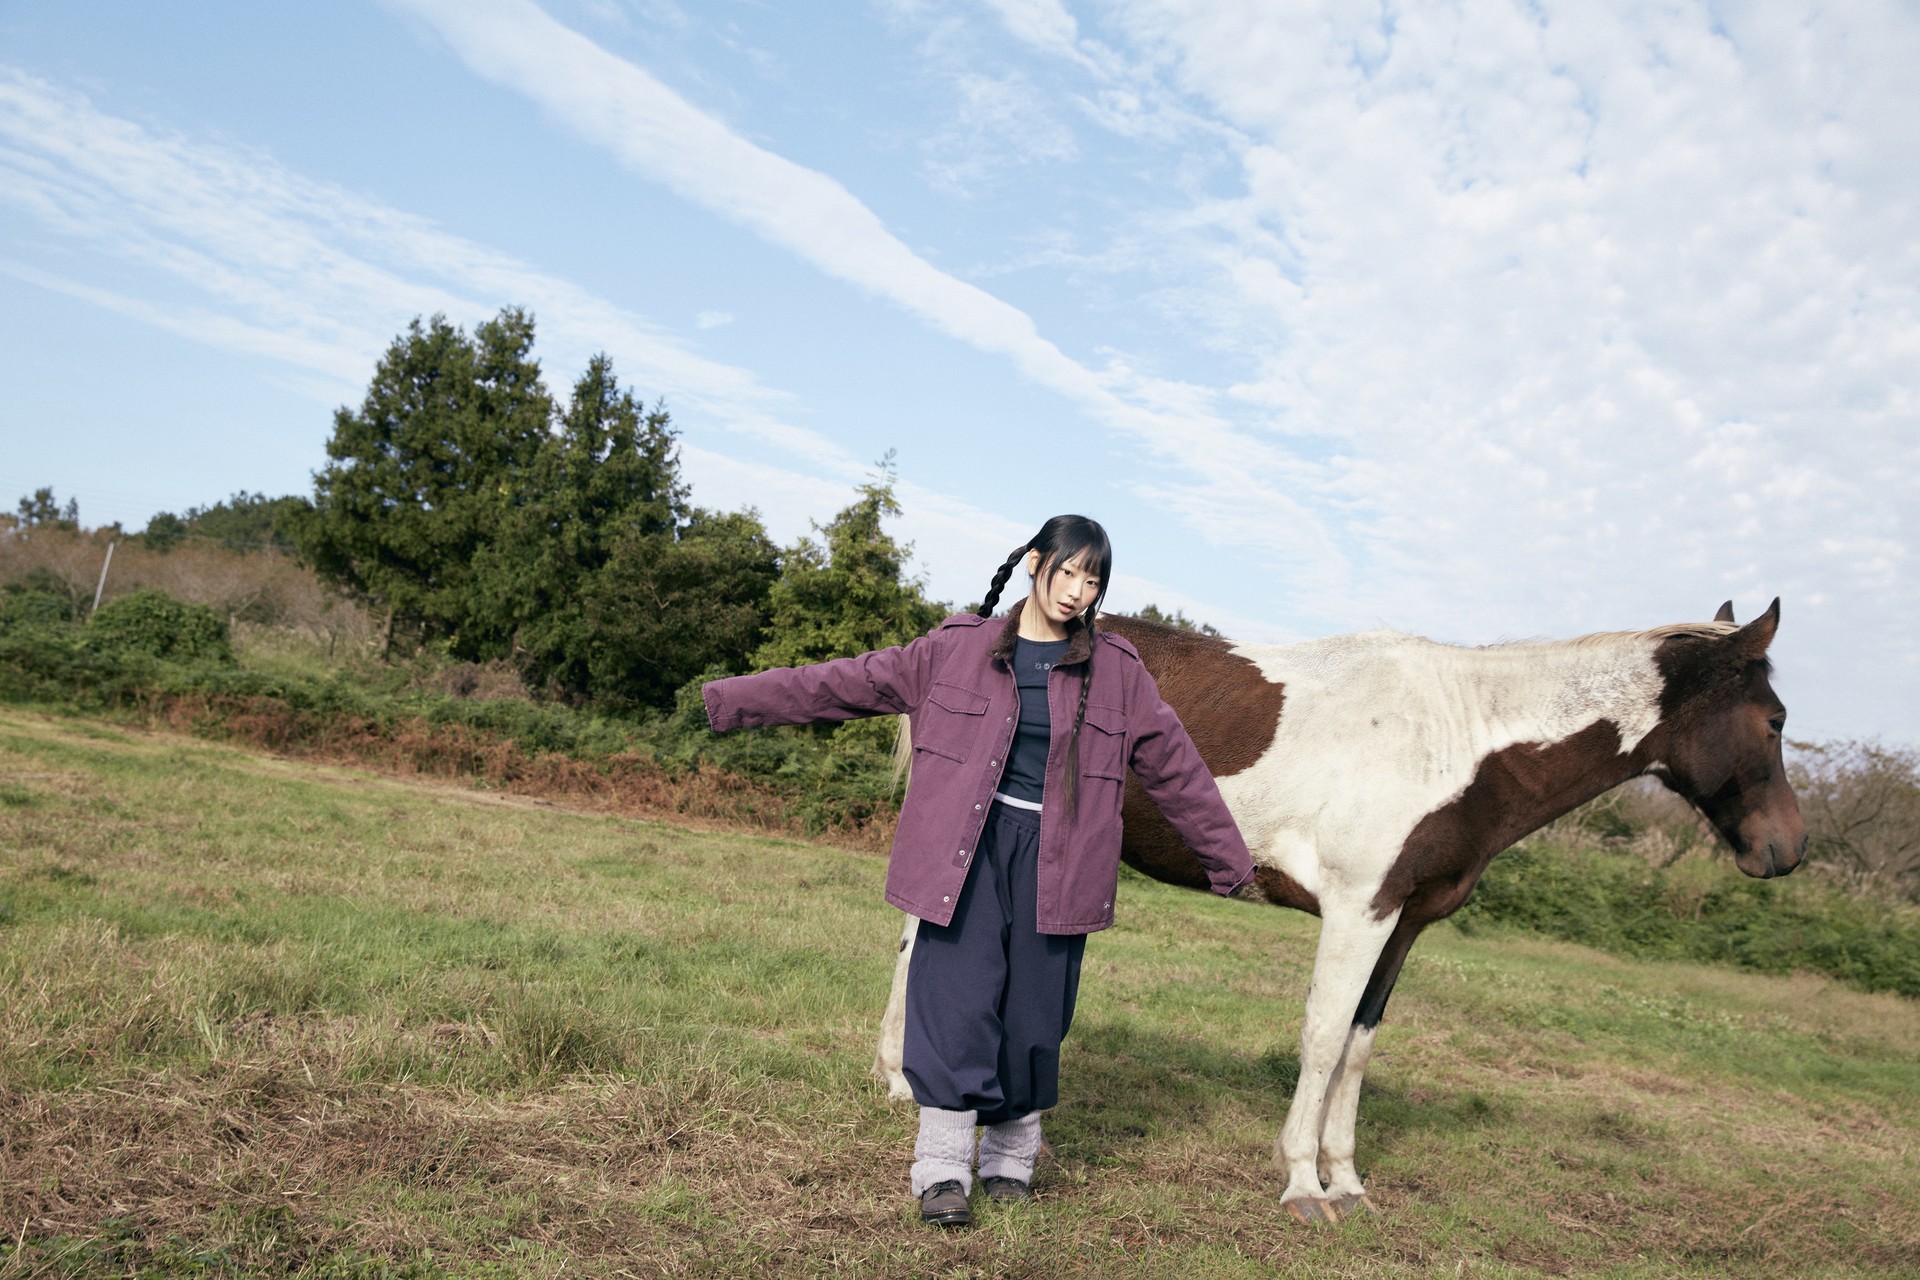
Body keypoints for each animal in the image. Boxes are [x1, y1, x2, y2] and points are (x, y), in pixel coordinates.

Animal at [875, 599, 1805, 1224]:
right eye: (1774, 718)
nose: (1786, 852)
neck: (1461, 743)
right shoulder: (1359, 910)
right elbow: (1322, 1039)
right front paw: (1301, 1185)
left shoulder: (1403, 922)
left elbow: (1358, 1046)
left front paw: (1347, 1182)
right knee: (921, 940)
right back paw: (898, 1079)